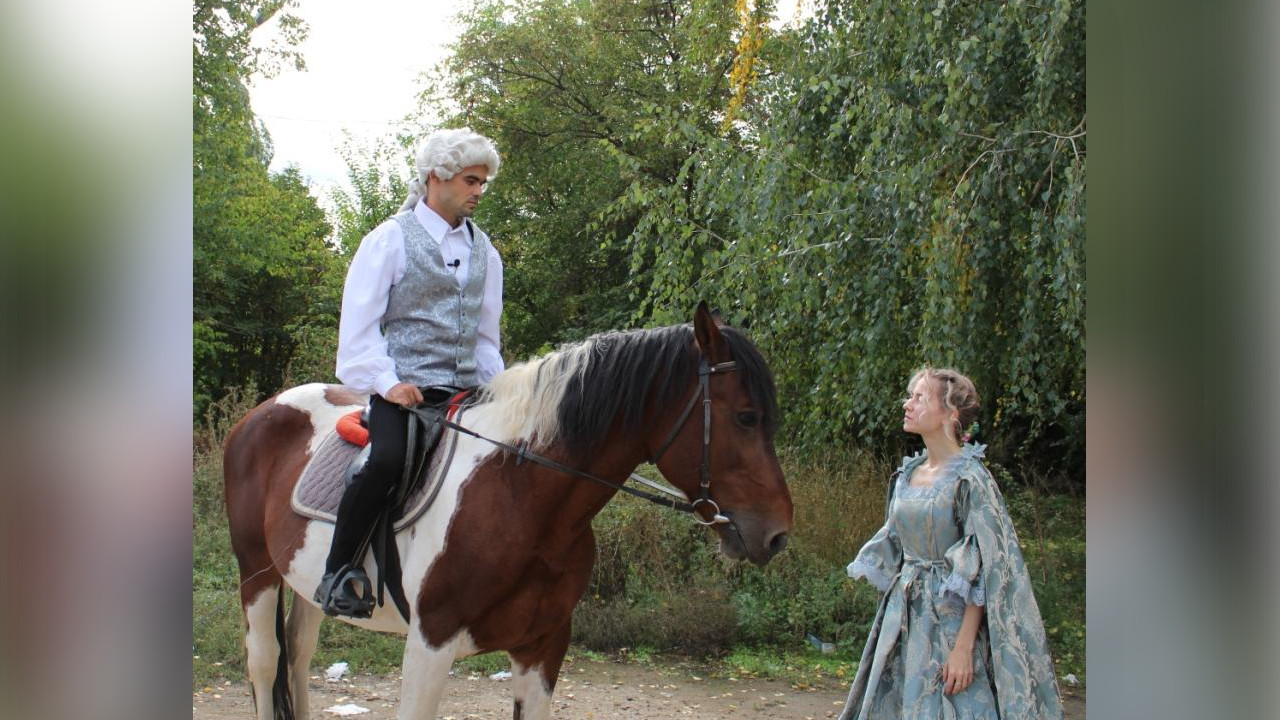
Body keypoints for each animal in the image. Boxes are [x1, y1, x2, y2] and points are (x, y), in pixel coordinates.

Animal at [225, 303, 793, 717]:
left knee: (298, 659)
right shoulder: (430, 643)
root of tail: (261, 413)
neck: (521, 496)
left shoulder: (543, 647)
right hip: (257, 571)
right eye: (747, 417)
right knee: (266, 664)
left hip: (306, 581)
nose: (778, 534)